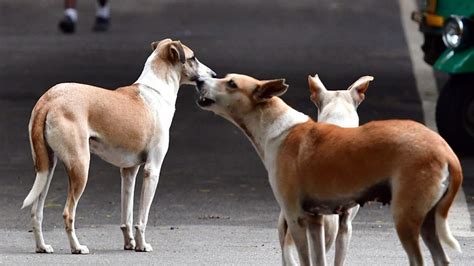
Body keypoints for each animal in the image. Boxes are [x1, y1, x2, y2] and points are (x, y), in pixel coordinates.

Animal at [21, 39, 215, 254]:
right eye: (193, 58)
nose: (214, 75)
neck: (156, 90)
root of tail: (48, 99)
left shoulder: (129, 171)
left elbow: (127, 216)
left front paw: (130, 243)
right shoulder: (152, 171)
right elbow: (142, 218)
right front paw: (142, 245)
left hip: (47, 169)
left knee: (36, 212)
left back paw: (42, 246)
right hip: (80, 167)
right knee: (67, 213)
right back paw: (77, 247)